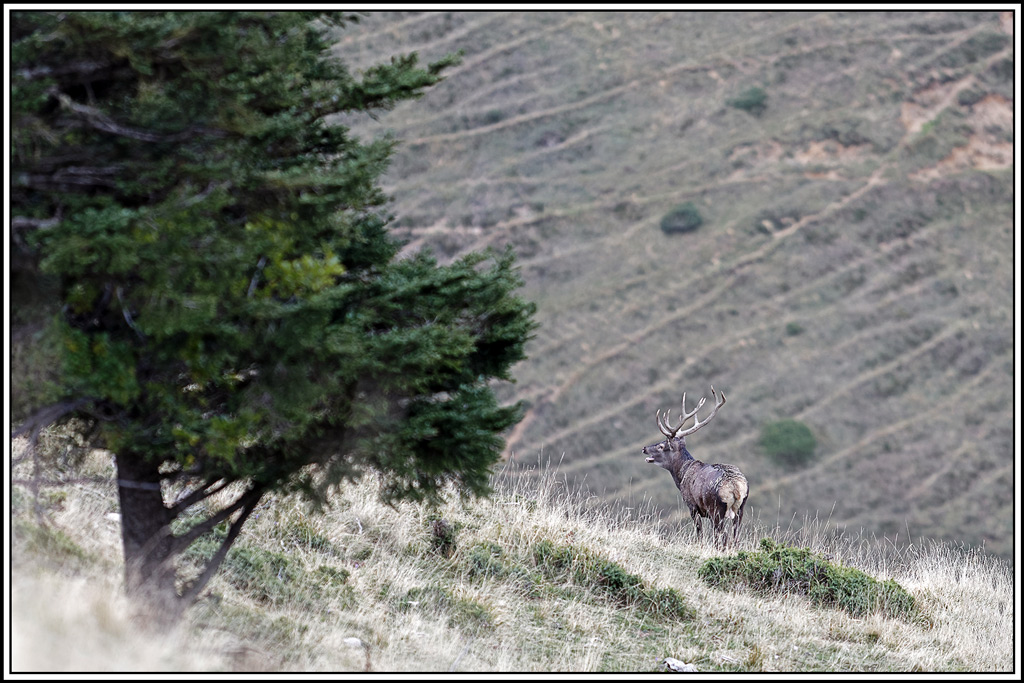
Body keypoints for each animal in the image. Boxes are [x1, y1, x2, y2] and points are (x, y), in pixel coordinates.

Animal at [642, 386, 748, 549]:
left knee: (721, 538)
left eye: (661, 446)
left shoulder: (692, 506)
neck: (681, 476)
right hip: (740, 509)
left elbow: (700, 534)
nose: (645, 448)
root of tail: (735, 487)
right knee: (734, 538)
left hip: (716, 509)